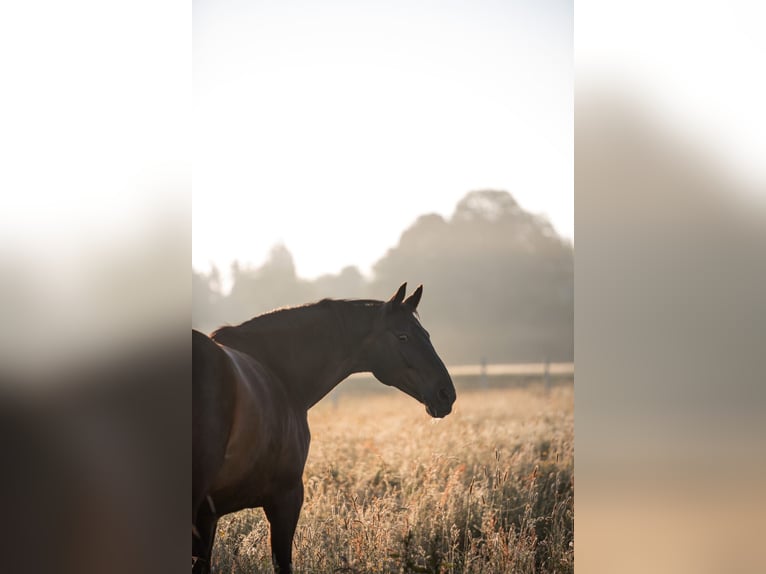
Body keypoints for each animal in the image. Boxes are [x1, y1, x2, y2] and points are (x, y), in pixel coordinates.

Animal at [192, 283, 456, 573]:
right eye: (403, 337)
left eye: (426, 334)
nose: (446, 394)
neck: (280, 374)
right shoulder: (286, 499)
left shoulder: (209, 516)